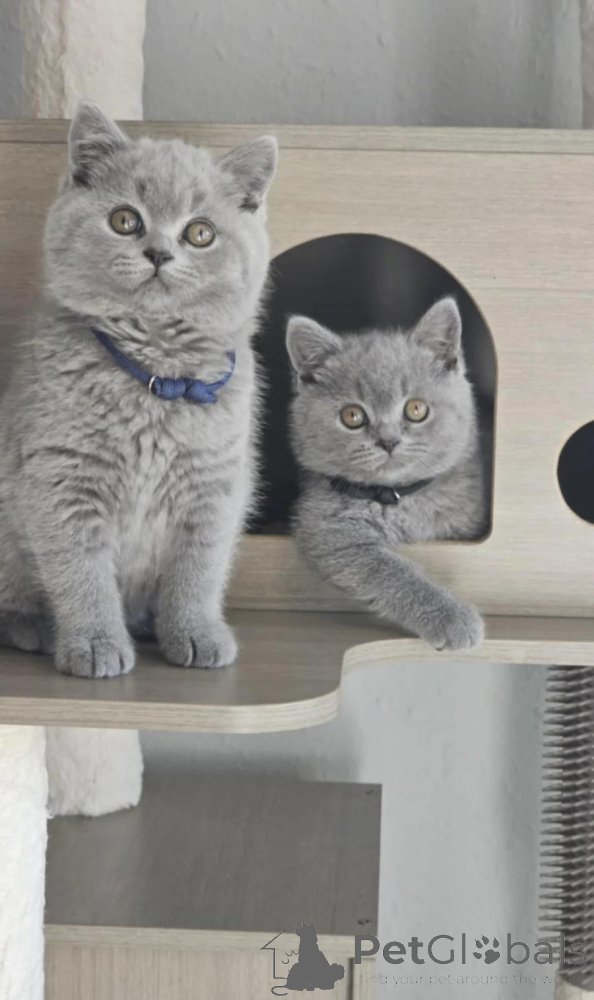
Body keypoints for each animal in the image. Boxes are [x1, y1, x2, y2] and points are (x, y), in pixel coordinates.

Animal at [0, 101, 277, 677]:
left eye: (200, 233)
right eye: (125, 220)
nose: (158, 253)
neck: (157, 378)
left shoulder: (214, 487)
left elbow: (198, 571)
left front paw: (194, 632)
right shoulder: (61, 478)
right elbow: (80, 573)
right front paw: (94, 643)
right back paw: (30, 627)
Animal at [286, 297, 487, 651]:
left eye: (416, 409)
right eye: (352, 416)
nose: (388, 441)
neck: (398, 497)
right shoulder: (329, 530)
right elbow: (392, 571)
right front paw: (454, 618)